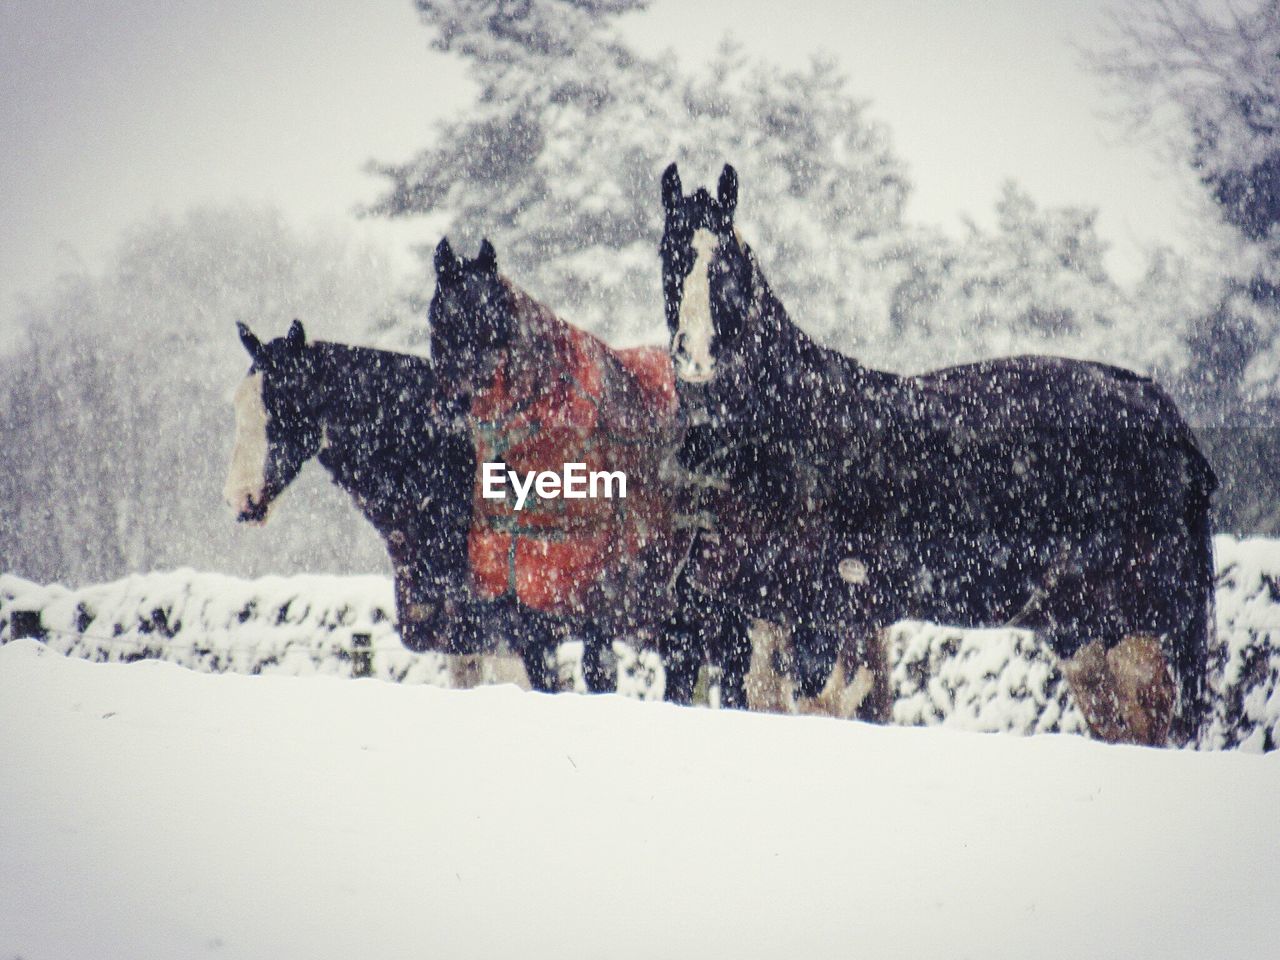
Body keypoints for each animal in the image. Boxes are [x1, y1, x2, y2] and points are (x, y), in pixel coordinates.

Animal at [432, 239, 747, 706]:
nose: (452, 406)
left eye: (491, 322)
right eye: (438, 319)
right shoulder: (527, 609)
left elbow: (599, 674)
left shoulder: (598, 605)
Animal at [660, 163, 1218, 742]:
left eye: (726, 264)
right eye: (669, 254)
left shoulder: (817, 619)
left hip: (1138, 627)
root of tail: (1159, 406)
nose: (694, 354)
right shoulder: (734, 615)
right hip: (1084, 630)